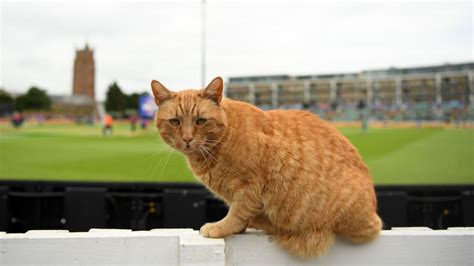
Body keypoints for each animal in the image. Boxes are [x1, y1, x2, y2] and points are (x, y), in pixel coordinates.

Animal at [151, 76, 382, 258]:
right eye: (175, 121)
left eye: (200, 121)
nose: (187, 139)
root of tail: (373, 212)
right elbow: (240, 215)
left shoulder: (249, 188)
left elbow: (237, 213)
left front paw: (221, 228)